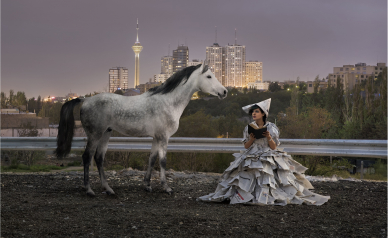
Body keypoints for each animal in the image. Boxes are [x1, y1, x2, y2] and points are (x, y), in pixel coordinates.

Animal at [54, 62, 227, 195]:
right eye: (209, 76)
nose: (224, 91)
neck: (168, 102)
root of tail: (85, 100)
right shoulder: (163, 137)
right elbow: (162, 161)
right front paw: (166, 188)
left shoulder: (156, 137)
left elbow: (151, 159)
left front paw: (147, 185)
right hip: (95, 135)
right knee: (87, 157)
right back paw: (89, 190)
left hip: (105, 134)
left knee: (98, 158)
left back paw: (108, 189)